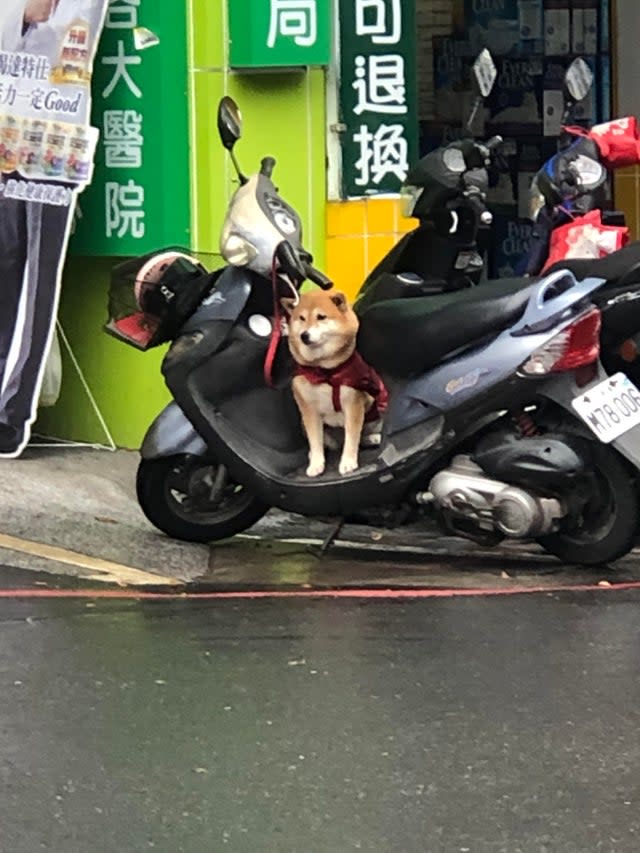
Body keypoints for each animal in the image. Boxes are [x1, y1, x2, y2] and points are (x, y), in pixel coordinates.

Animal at [282, 286, 388, 472]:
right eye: (301, 318)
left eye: (321, 317)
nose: (304, 335)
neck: (325, 371)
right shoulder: (308, 410)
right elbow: (315, 440)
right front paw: (316, 464)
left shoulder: (353, 404)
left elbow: (352, 438)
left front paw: (348, 462)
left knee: (362, 436)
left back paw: (372, 438)